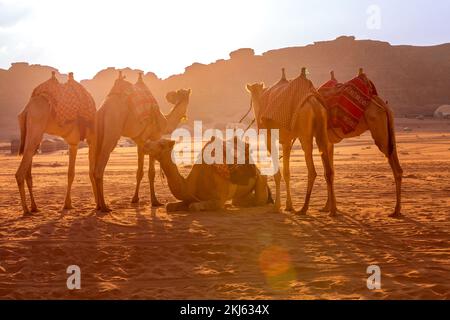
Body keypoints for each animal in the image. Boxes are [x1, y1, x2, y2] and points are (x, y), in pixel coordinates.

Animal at [16, 72, 96, 216]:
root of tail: (27, 109)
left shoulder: (73, 143)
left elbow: (70, 173)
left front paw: (67, 204)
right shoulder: (91, 138)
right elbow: (90, 171)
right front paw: (100, 206)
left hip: (31, 132)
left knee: (27, 168)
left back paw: (34, 207)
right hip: (36, 126)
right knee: (21, 172)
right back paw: (26, 210)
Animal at [94, 72, 191, 212]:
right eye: (179, 92)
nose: (168, 94)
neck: (165, 121)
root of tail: (103, 109)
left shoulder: (140, 142)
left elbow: (139, 172)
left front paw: (135, 199)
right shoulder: (154, 137)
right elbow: (151, 172)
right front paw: (155, 201)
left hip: (97, 132)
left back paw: (98, 206)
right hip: (112, 132)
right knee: (99, 169)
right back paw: (104, 207)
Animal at [142, 138, 272, 211]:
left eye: (162, 145)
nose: (145, 145)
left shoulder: (219, 199)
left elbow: (193, 207)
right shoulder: (189, 197)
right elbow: (169, 206)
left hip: (260, 179)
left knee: (258, 199)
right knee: (238, 201)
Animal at [244, 69, 336, 216]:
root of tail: (313, 101)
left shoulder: (270, 138)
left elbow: (278, 173)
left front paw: (277, 206)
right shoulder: (286, 141)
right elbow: (287, 172)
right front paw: (289, 206)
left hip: (304, 131)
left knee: (312, 168)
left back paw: (304, 208)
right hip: (322, 128)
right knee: (328, 168)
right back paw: (331, 210)